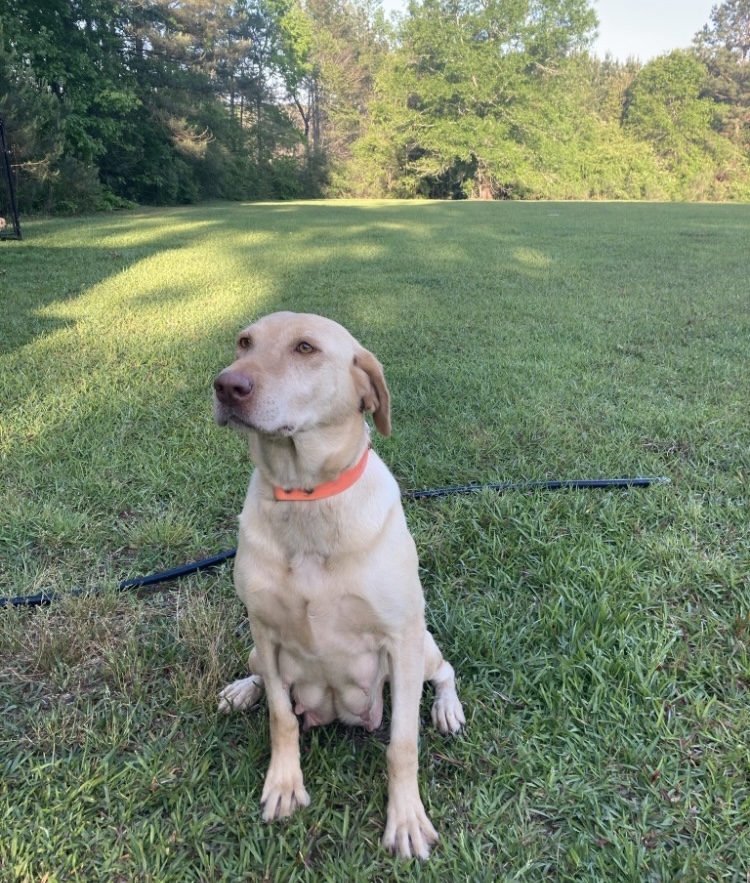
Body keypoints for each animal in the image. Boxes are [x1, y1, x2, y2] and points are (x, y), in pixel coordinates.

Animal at [214, 314, 468, 860]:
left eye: (305, 348)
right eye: (244, 342)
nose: (226, 386)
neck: (307, 498)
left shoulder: (400, 637)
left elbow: (402, 745)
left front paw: (406, 820)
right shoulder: (265, 631)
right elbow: (281, 718)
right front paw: (284, 784)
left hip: (422, 647)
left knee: (445, 671)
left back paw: (447, 709)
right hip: (255, 650)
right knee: (263, 682)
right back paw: (242, 691)